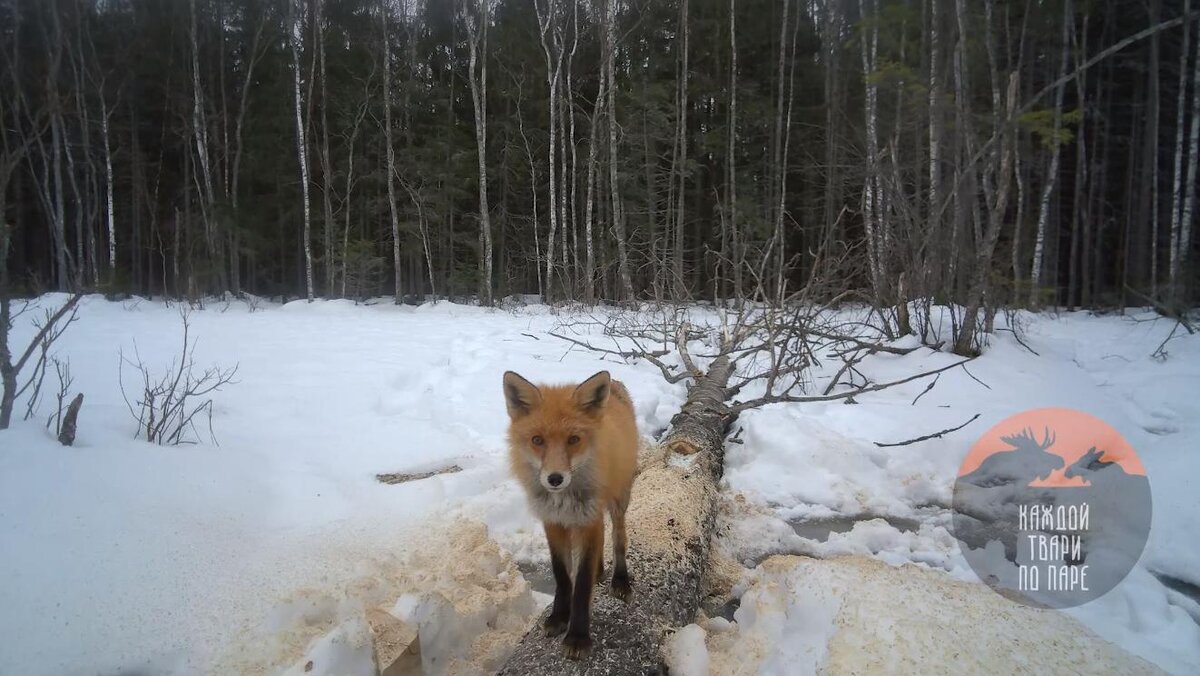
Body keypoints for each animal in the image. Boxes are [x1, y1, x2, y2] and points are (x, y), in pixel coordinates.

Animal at [501, 369, 643, 662]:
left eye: (573, 440)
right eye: (537, 440)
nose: (555, 479)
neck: (562, 501)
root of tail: (615, 383)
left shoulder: (587, 521)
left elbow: (582, 583)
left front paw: (577, 635)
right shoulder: (553, 522)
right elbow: (562, 575)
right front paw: (558, 616)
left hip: (618, 500)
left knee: (618, 538)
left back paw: (620, 580)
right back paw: (601, 571)